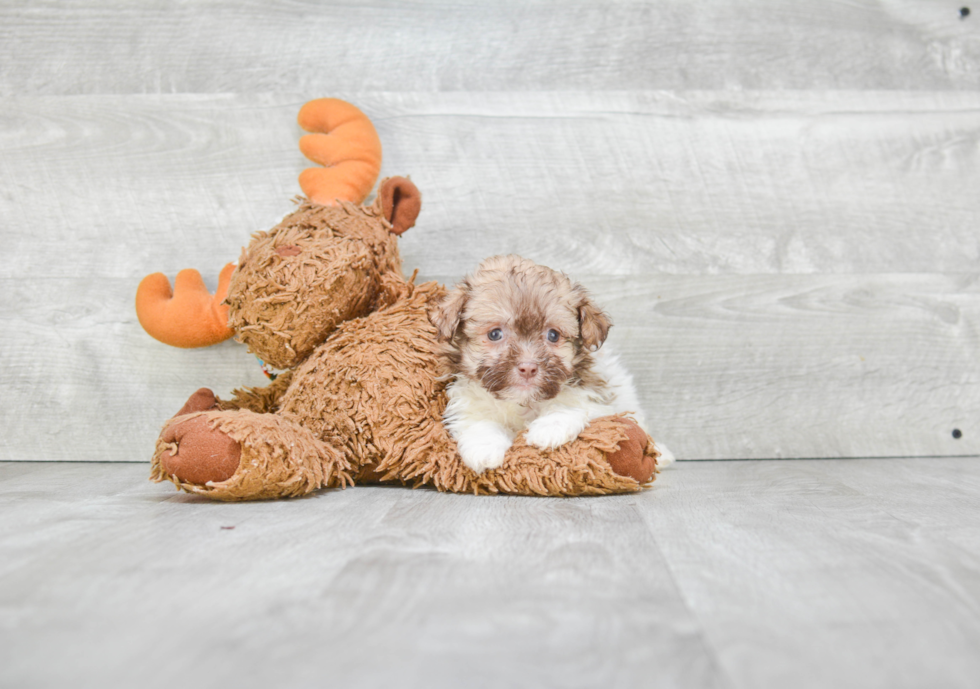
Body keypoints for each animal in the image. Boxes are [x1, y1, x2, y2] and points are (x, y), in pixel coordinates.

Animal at [428, 254, 672, 472]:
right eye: (495, 334)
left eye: (553, 335)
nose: (528, 367)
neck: (522, 402)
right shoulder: (467, 399)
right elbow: (478, 421)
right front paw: (484, 449)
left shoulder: (595, 396)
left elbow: (570, 403)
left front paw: (549, 429)